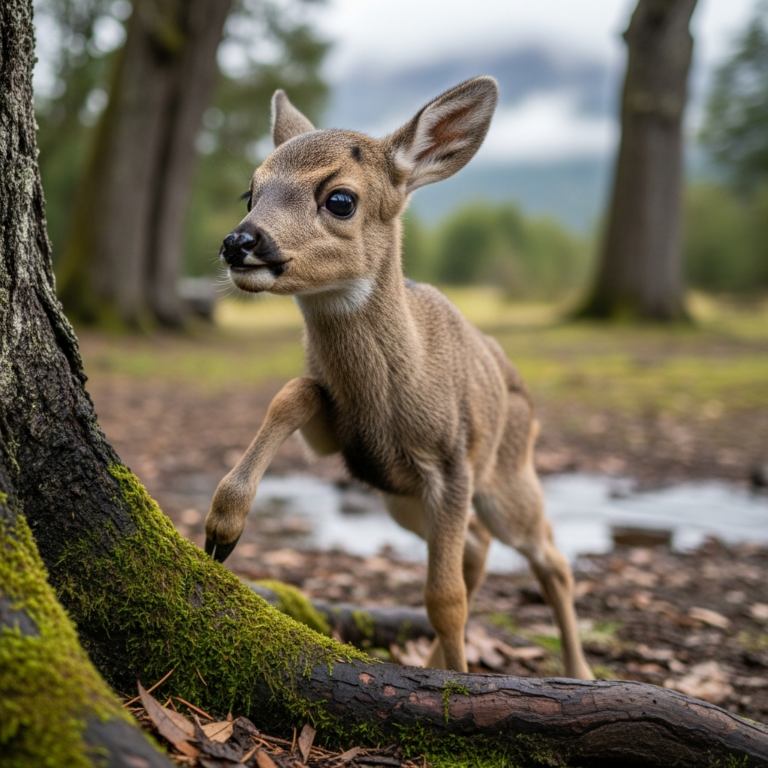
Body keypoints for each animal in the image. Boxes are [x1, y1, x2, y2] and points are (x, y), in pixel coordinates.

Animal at [204, 77, 594, 679]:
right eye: (251, 193)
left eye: (340, 199)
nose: (239, 242)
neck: (389, 401)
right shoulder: (344, 441)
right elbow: (294, 391)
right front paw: (223, 526)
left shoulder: (453, 464)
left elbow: (444, 598)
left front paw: (460, 688)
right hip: (399, 498)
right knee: (479, 548)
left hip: (506, 475)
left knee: (548, 556)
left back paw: (579, 672)